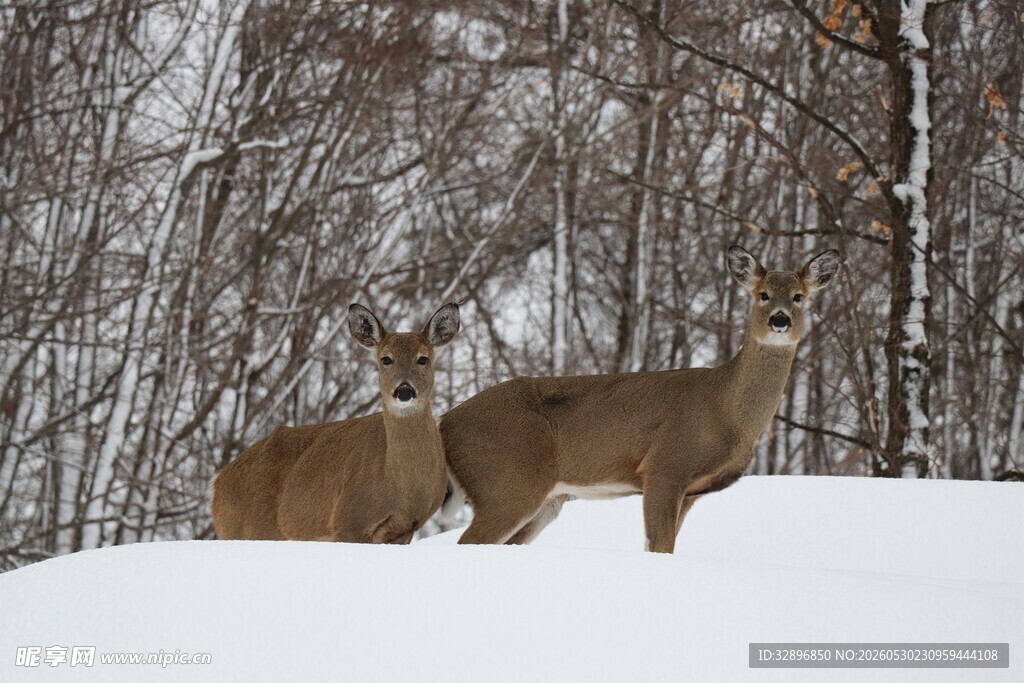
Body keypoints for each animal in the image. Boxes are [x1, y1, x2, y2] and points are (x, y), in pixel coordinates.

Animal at [211, 302, 460, 544]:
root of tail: (216, 484)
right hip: (250, 529)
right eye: (386, 359)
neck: (401, 488)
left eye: (423, 359)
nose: (405, 391)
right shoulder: (347, 521)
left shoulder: (404, 529)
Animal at [438, 246, 840, 553]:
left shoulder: (691, 491)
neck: (725, 410)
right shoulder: (665, 466)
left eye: (800, 296)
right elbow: (660, 547)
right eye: (762, 294)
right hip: (507, 481)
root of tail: (444, 423)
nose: (780, 320)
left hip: (546, 498)